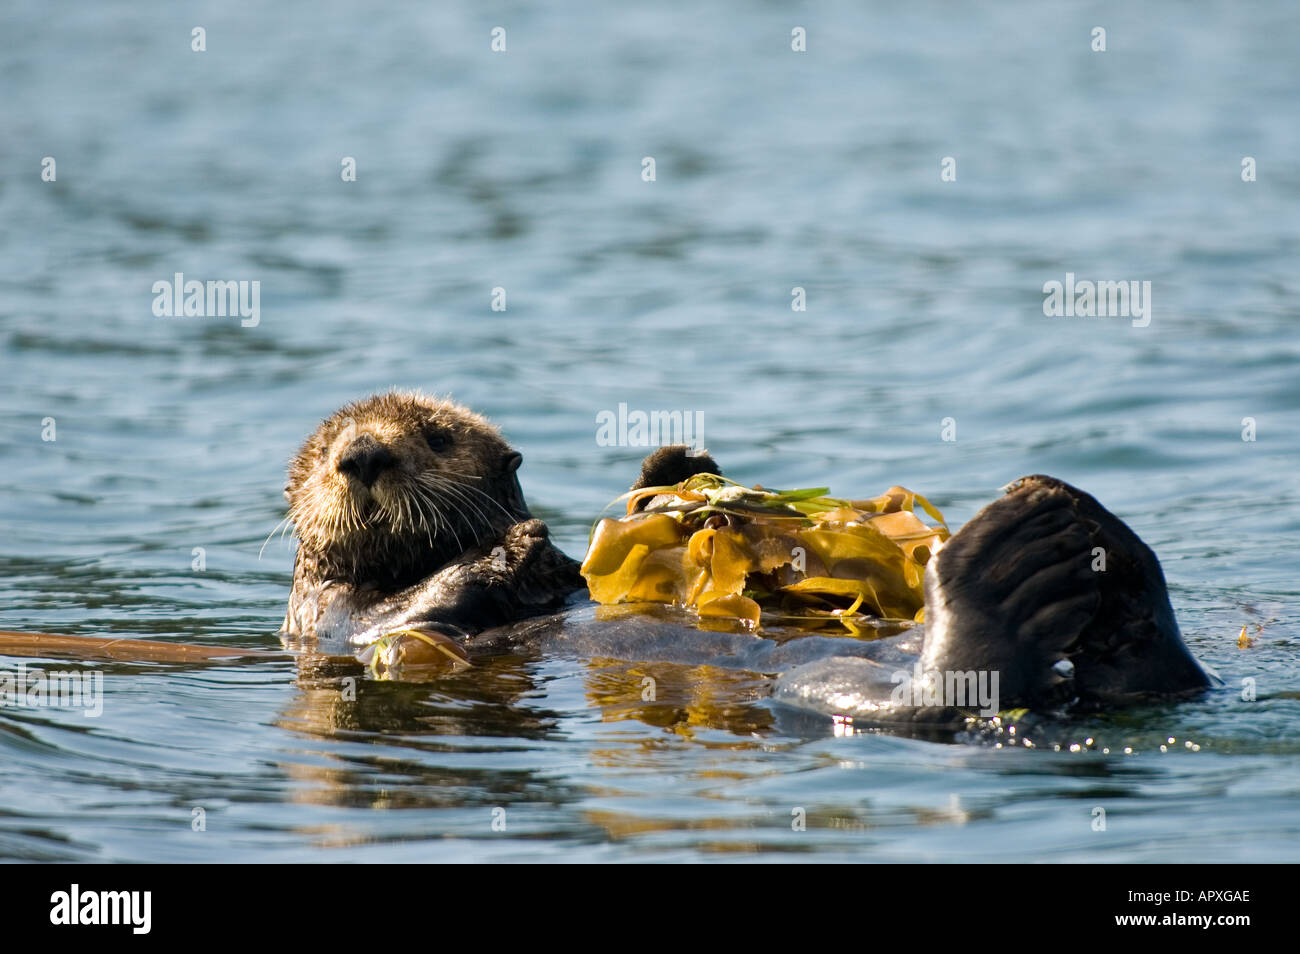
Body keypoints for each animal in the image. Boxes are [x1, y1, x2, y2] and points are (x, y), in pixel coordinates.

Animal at [279, 392, 1211, 727]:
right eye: (326, 454)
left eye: (435, 437)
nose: (362, 456)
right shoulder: (327, 618)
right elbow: (401, 617)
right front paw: (512, 546)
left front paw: (676, 468)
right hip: (826, 679)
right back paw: (1020, 565)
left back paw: (1097, 553)